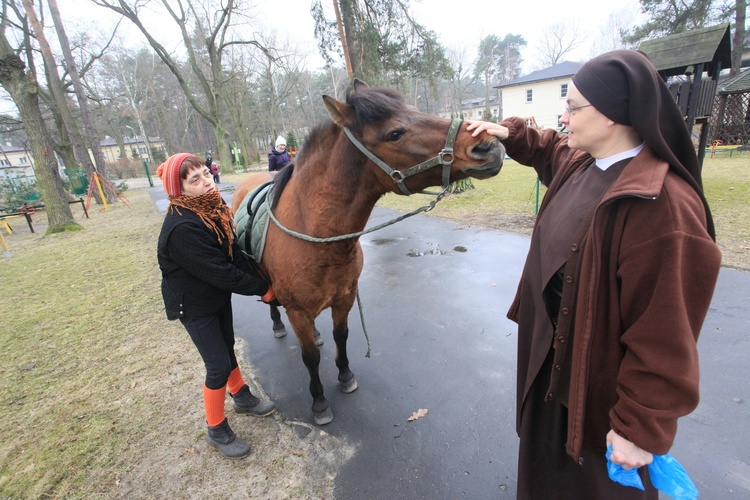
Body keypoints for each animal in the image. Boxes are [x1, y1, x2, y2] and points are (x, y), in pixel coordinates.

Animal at [234, 80, 506, 424]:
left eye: (415, 110)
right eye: (394, 133)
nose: (488, 147)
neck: (318, 239)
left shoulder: (345, 297)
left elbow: (341, 336)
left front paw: (345, 376)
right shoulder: (296, 309)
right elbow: (310, 357)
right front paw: (319, 402)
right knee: (273, 307)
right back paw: (278, 327)